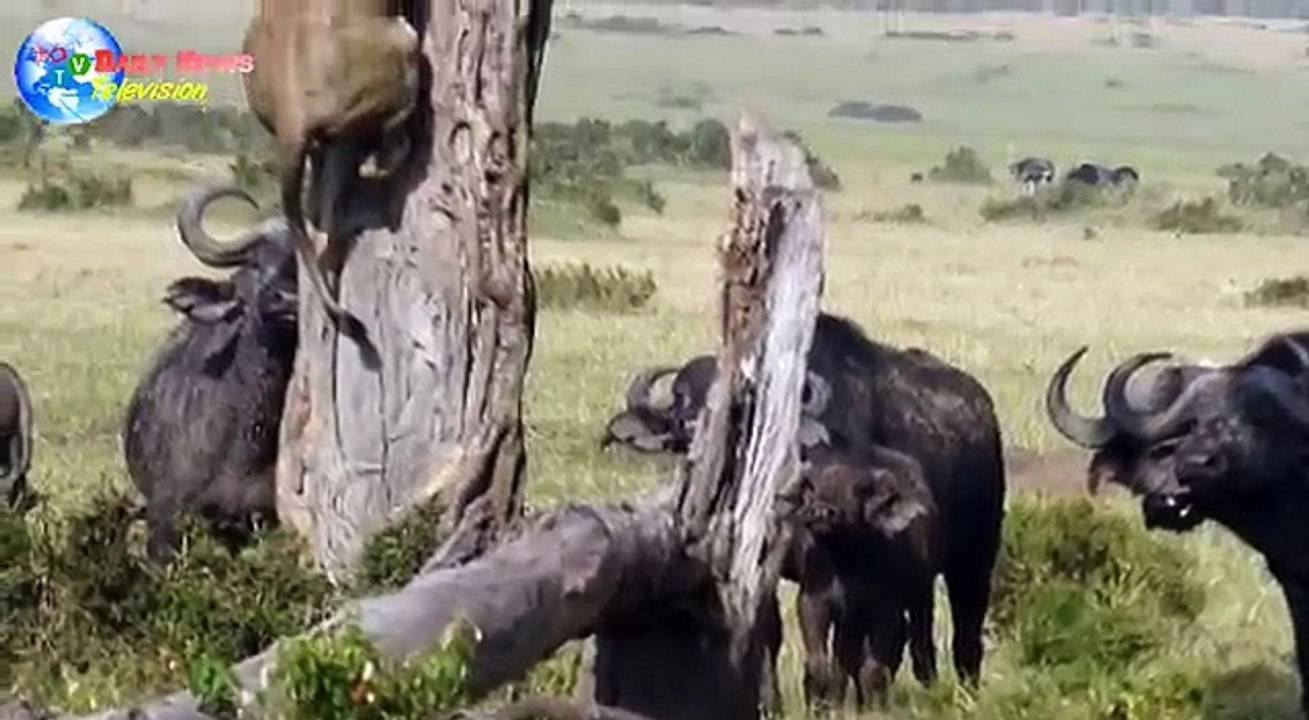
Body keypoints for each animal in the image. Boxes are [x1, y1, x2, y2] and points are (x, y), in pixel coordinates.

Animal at [603, 312, 1007, 695]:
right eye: (680, 399)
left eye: (742, 403)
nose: (690, 428)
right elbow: (769, 633)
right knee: (919, 630)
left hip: (974, 560)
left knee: (964, 632)